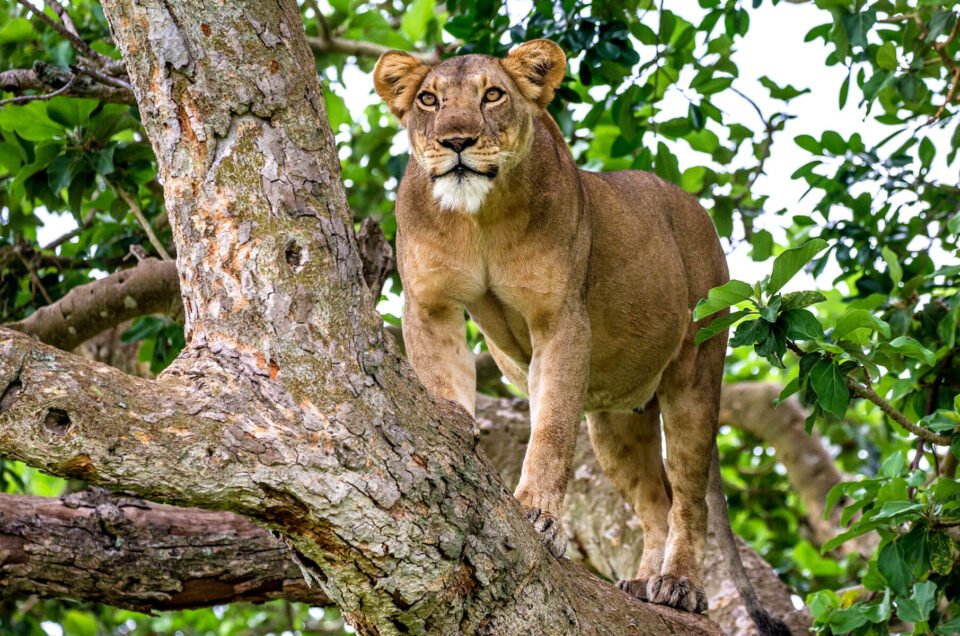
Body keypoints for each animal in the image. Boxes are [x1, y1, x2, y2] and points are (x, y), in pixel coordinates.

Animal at [373, 40, 790, 634]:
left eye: (493, 95)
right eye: (429, 100)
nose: (456, 141)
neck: (480, 217)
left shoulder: (561, 320)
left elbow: (549, 432)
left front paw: (537, 516)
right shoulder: (430, 307)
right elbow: (444, 387)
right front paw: (454, 441)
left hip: (695, 373)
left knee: (690, 499)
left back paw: (679, 586)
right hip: (616, 424)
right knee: (656, 502)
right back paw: (643, 583)